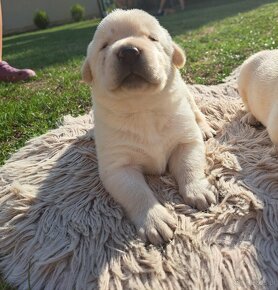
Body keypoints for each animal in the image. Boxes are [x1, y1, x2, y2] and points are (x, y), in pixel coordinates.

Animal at [81, 9, 216, 245]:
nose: (128, 52)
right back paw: (91, 133)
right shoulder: (117, 167)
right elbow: (136, 192)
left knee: (195, 109)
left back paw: (204, 127)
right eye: (104, 45)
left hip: (187, 93)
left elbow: (189, 165)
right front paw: (154, 219)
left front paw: (198, 190)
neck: (142, 108)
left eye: (152, 38)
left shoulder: (185, 141)